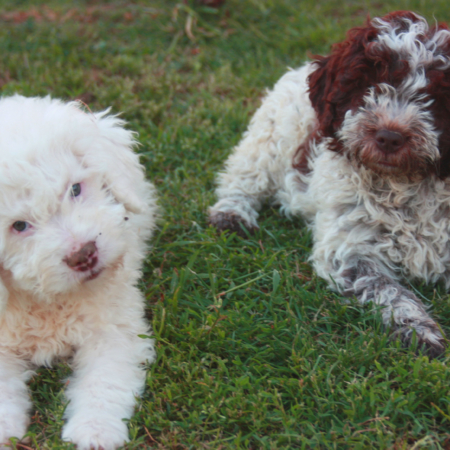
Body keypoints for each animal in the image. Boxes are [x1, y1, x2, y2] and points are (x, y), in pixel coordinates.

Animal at [0, 93, 156, 448]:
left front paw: (95, 432)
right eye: (19, 226)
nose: (84, 254)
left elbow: (104, 381)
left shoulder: (114, 328)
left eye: (75, 189)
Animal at [209, 10, 450, 356]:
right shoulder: (349, 250)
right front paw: (418, 329)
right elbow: (386, 289)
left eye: (434, 96)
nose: (389, 137)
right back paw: (232, 213)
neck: (404, 184)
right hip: (268, 138)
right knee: (243, 176)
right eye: (368, 86)